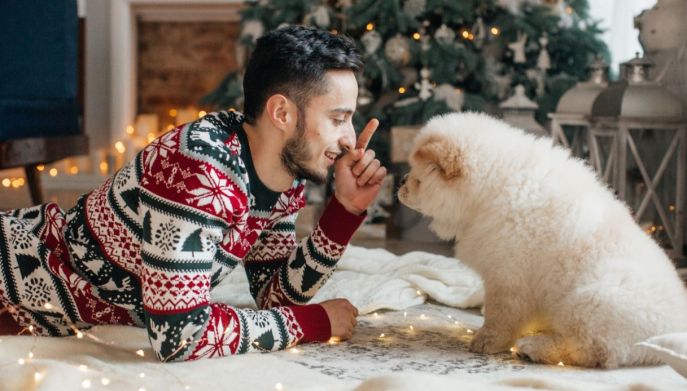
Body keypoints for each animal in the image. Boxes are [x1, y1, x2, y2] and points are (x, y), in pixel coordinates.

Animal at [398, 112, 687, 370]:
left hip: (592, 300)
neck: (491, 188)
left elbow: (499, 314)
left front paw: (486, 342)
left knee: (591, 350)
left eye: (417, 179)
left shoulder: (506, 275)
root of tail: (670, 331)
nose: (401, 182)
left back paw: (533, 347)